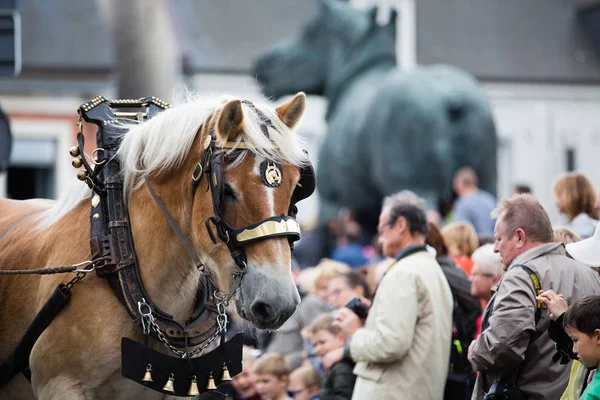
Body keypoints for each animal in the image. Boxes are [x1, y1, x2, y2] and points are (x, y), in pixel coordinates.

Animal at [253, 0, 496, 231]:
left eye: (310, 32)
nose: (263, 62)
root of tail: (453, 99)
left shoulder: (333, 203)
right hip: (485, 185)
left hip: (419, 189)